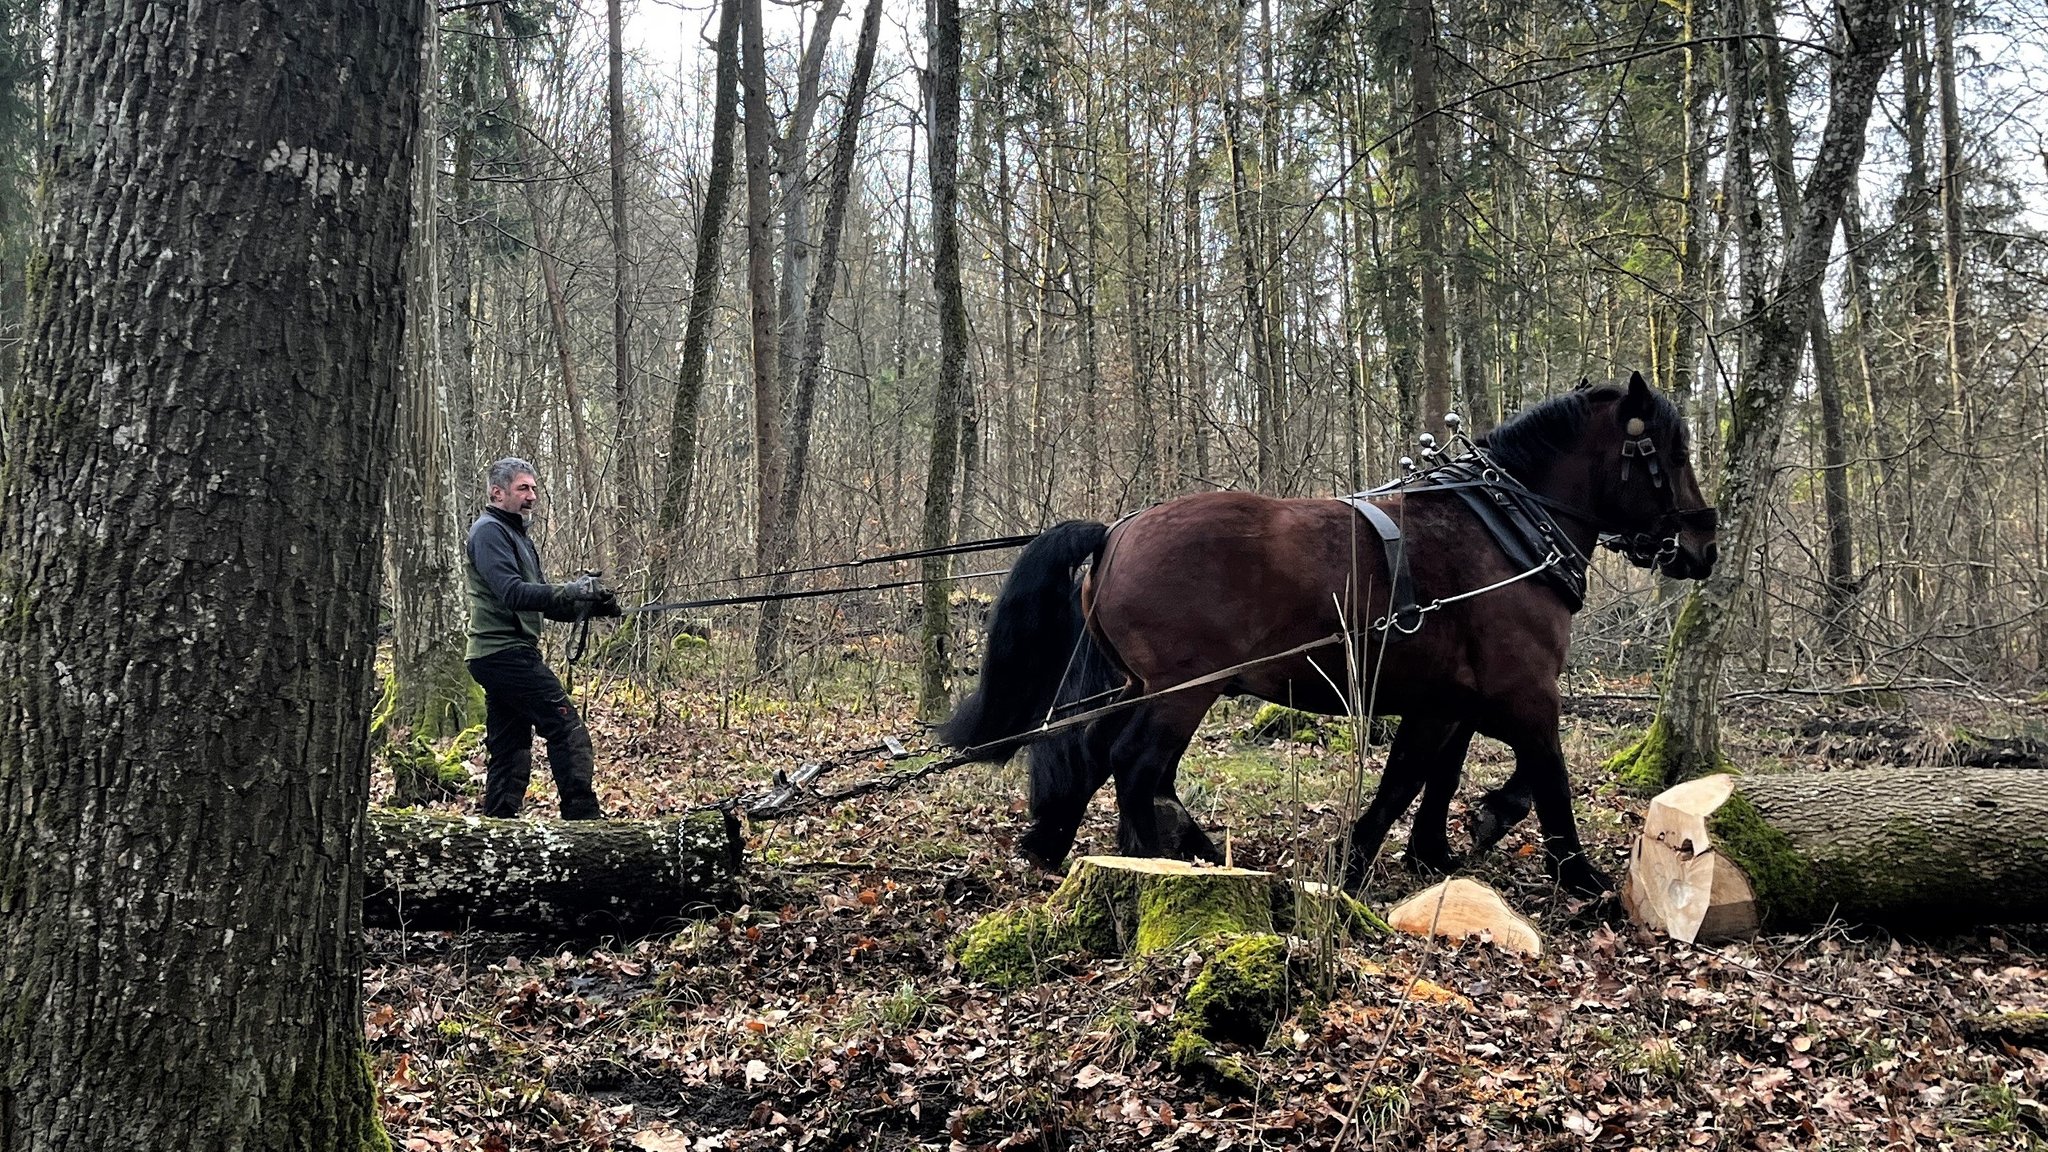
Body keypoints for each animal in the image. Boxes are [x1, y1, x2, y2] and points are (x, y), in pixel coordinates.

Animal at [942, 373, 1712, 893]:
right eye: (1672, 454)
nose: (1703, 546)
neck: (1506, 531)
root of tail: (1116, 532)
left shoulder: (1448, 700)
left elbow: (1422, 776)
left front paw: (1414, 851)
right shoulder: (1525, 691)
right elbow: (1545, 775)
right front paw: (1577, 875)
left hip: (1142, 685)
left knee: (1094, 753)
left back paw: (1085, 844)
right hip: (1182, 690)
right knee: (1136, 765)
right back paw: (1169, 851)